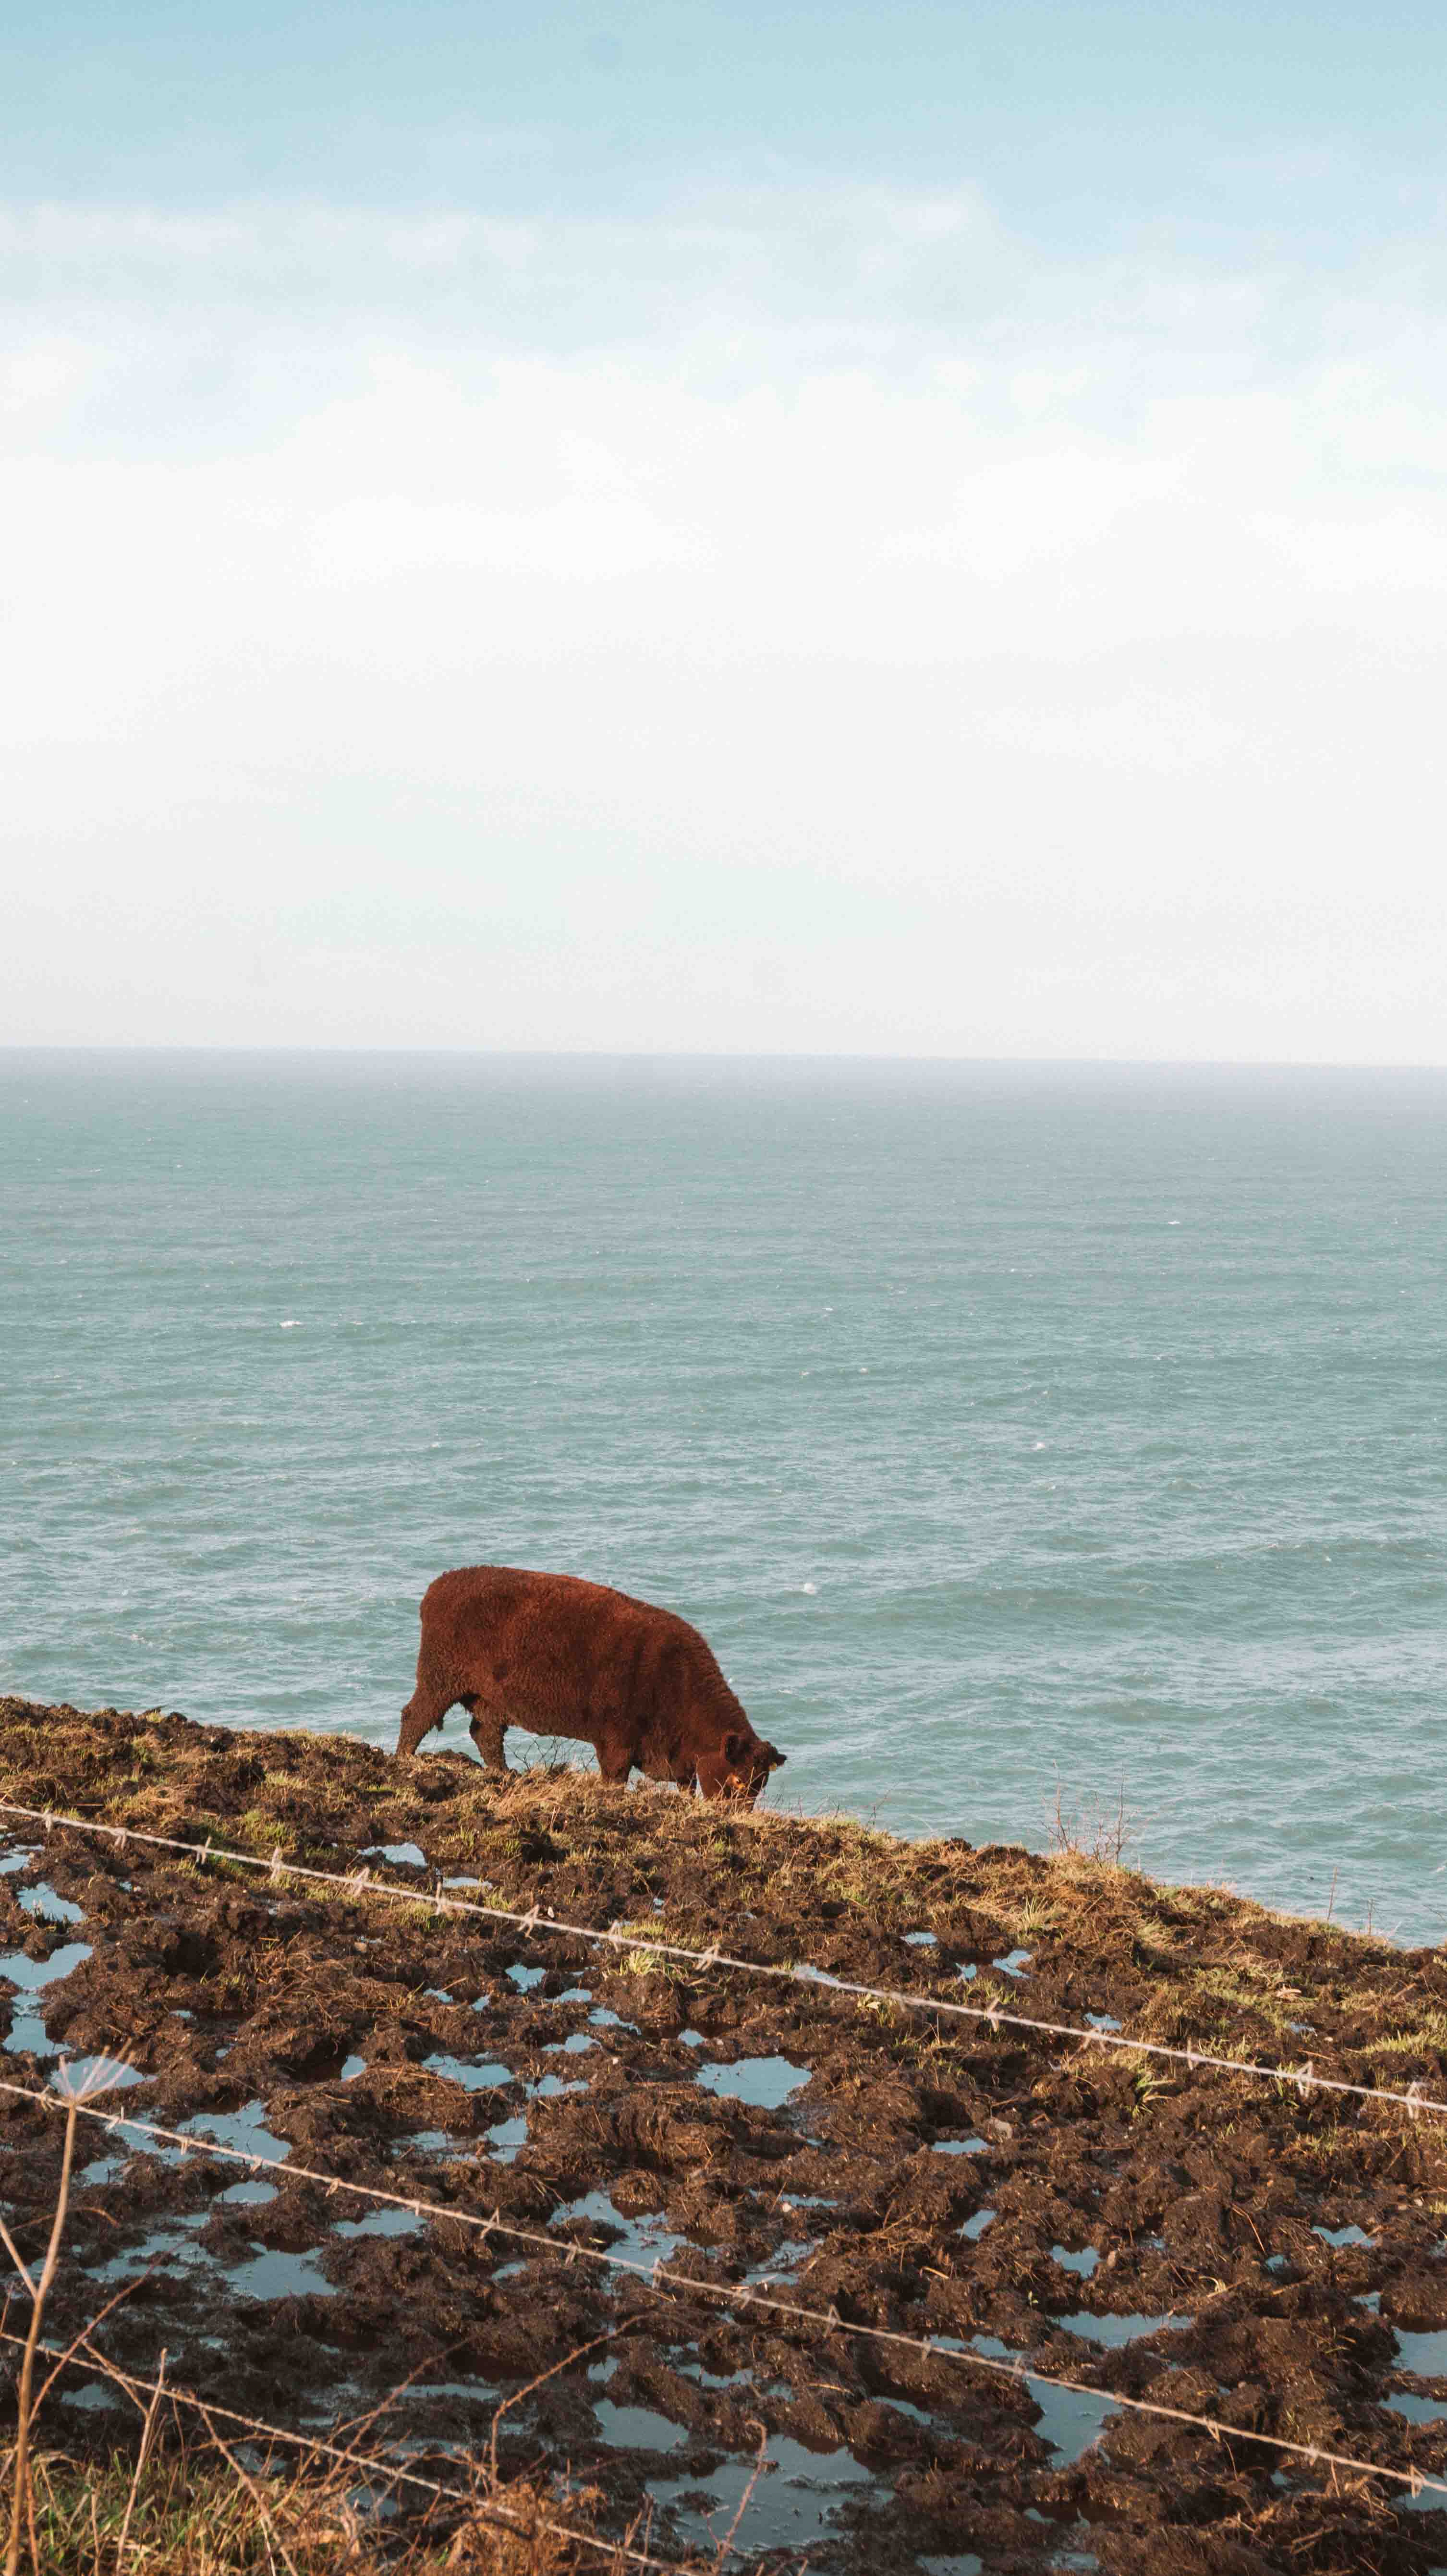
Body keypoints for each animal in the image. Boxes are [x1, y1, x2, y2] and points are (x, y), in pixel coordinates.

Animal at [394, 1556, 782, 1803]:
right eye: (737, 1780)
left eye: (759, 1786)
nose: (735, 1816)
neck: (676, 1678)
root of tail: (439, 1585)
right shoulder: (616, 1744)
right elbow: (615, 1778)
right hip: (439, 1680)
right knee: (416, 1716)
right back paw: (404, 1761)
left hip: (488, 1698)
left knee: (485, 1734)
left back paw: (505, 1775)